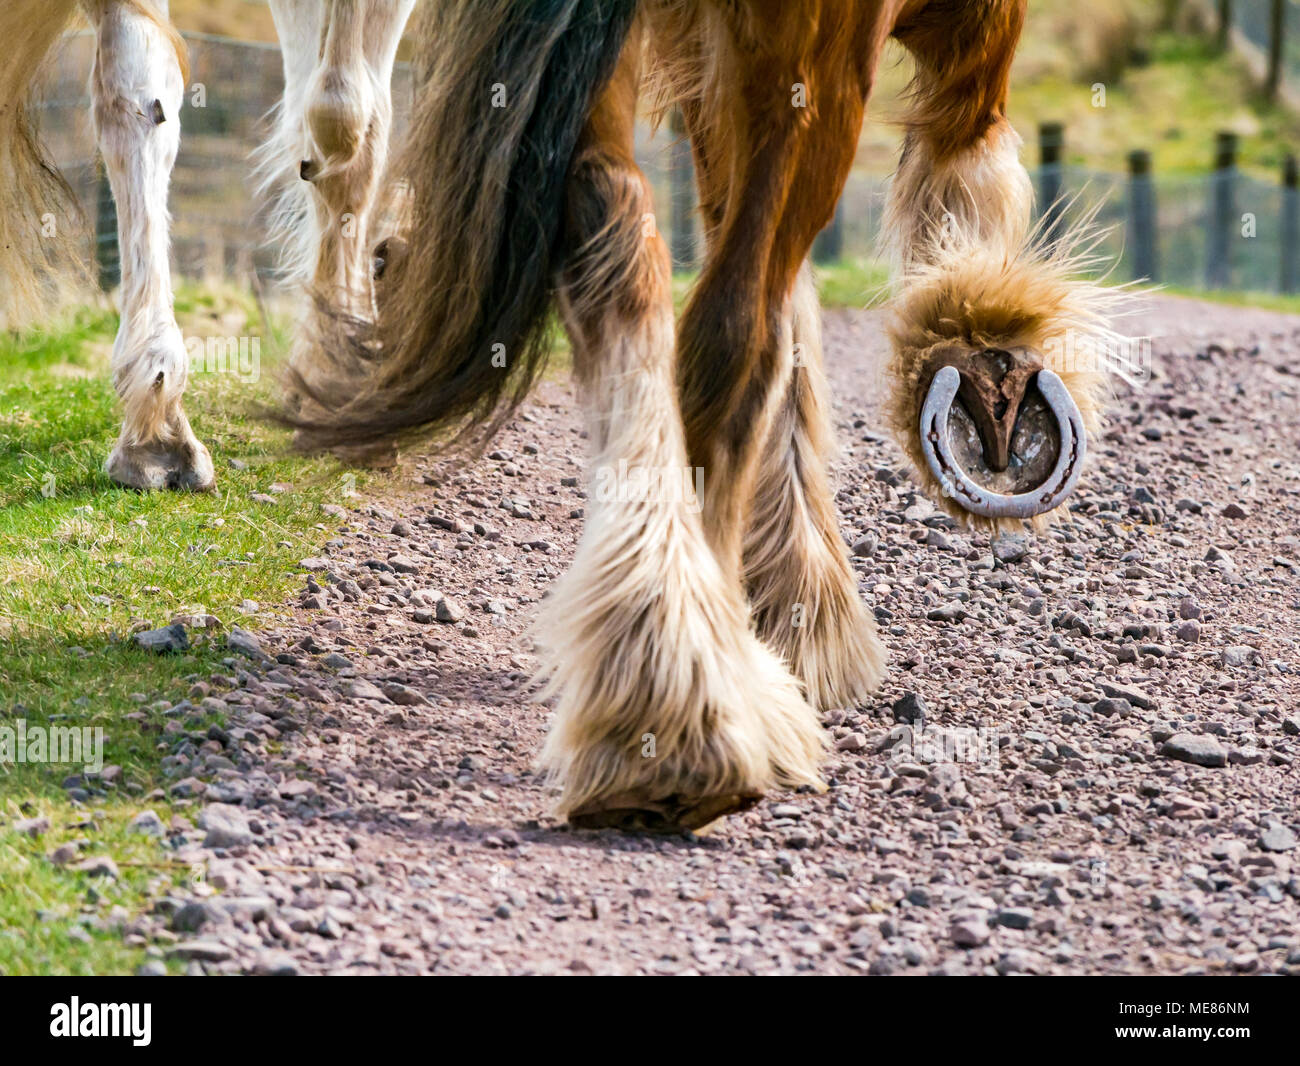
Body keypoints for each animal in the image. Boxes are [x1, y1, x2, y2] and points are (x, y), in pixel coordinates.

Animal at [284, 0, 1118, 832]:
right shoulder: (970, 41)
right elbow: (959, 186)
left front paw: (790, 601)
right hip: (815, 69)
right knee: (737, 330)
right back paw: (689, 711)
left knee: (614, 230)